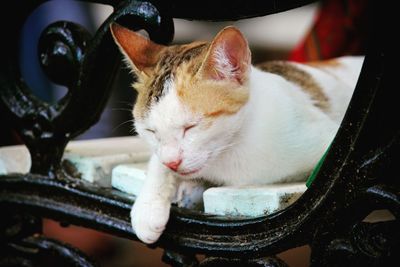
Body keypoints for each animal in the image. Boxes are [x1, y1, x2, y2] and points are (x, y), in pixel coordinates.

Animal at [111, 23, 364, 245]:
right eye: (150, 131)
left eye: (191, 127)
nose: (173, 163)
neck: (230, 150)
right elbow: (157, 161)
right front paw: (148, 208)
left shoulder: (330, 142)